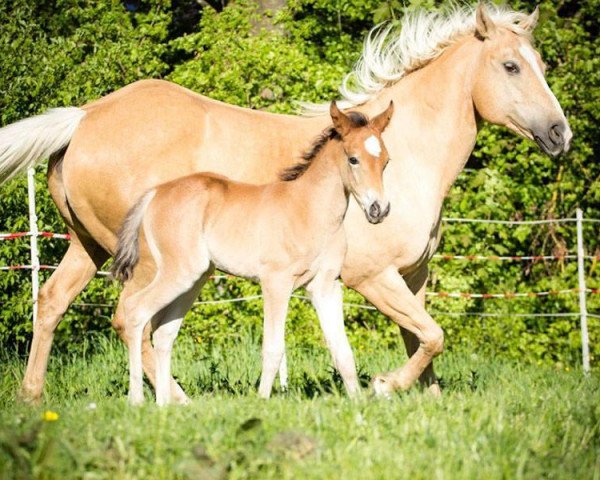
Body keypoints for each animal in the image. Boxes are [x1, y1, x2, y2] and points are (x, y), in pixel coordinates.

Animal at [112, 101, 394, 404]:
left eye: (386, 161)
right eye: (353, 159)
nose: (378, 210)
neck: (310, 209)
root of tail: (154, 193)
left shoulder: (325, 286)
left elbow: (342, 350)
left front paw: (358, 402)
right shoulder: (276, 283)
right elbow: (273, 349)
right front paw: (262, 401)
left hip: (194, 279)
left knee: (164, 333)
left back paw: (165, 404)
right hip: (178, 273)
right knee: (135, 311)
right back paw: (137, 400)